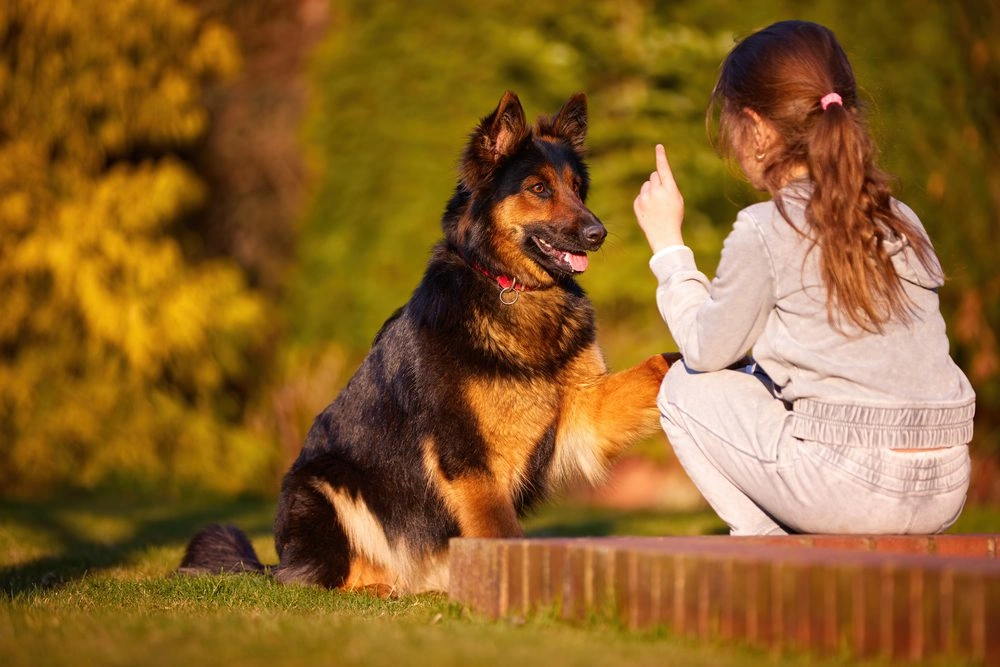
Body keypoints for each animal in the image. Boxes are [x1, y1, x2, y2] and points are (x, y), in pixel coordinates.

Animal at [183, 92, 676, 596]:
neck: (508, 287)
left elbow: (658, 365)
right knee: (321, 580)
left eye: (578, 188)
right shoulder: (467, 456)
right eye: (538, 188)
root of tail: (278, 562)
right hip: (323, 482)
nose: (599, 234)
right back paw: (378, 588)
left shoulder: (585, 409)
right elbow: (499, 530)